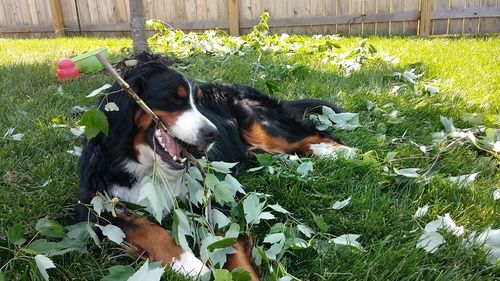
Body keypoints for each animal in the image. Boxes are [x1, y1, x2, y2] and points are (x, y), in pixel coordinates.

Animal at [77, 53, 352, 278]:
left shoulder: (212, 200)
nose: (213, 134)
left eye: (198, 103)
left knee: (311, 135)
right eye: (173, 99)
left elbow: (229, 245)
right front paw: (187, 261)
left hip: (260, 126)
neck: (151, 169)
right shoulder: (92, 204)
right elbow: (142, 227)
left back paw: (340, 152)